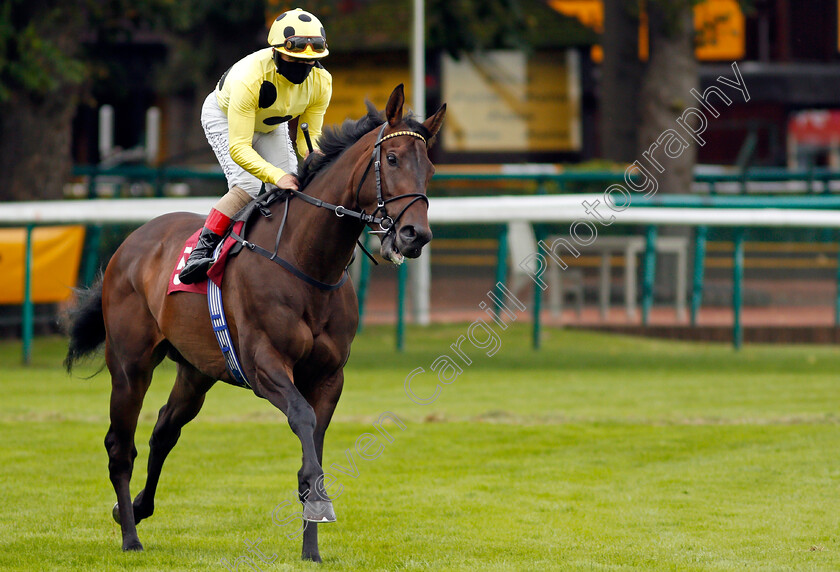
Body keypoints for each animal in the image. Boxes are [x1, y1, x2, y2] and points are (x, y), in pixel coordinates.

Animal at [64, 82, 446, 560]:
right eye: (391, 159)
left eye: (429, 166)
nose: (415, 235)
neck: (307, 263)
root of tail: (130, 243)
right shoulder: (265, 365)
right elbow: (302, 419)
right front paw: (320, 506)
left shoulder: (329, 376)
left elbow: (314, 445)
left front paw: (311, 548)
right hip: (130, 365)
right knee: (120, 445)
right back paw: (130, 537)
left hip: (197, 370)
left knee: (164, 431)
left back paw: (133, 509)